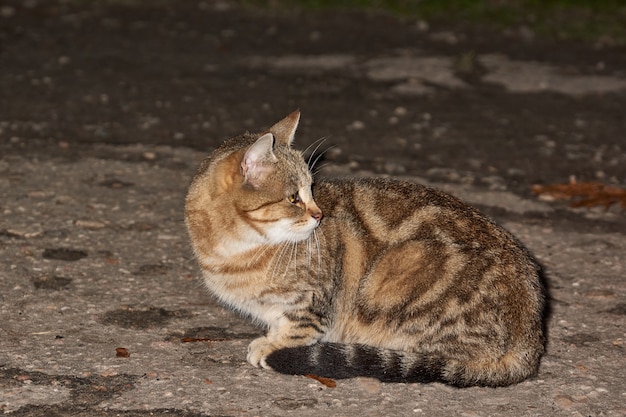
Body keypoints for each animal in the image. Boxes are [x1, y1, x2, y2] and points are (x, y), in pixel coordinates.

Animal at [183, 110, 544, 386]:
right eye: (293, 198)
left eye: (311, 189)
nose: (319, 214)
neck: (233, 251)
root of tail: (532, 337)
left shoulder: (313, 302)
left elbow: (297, 328)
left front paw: (274, 346)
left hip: (401, 268)